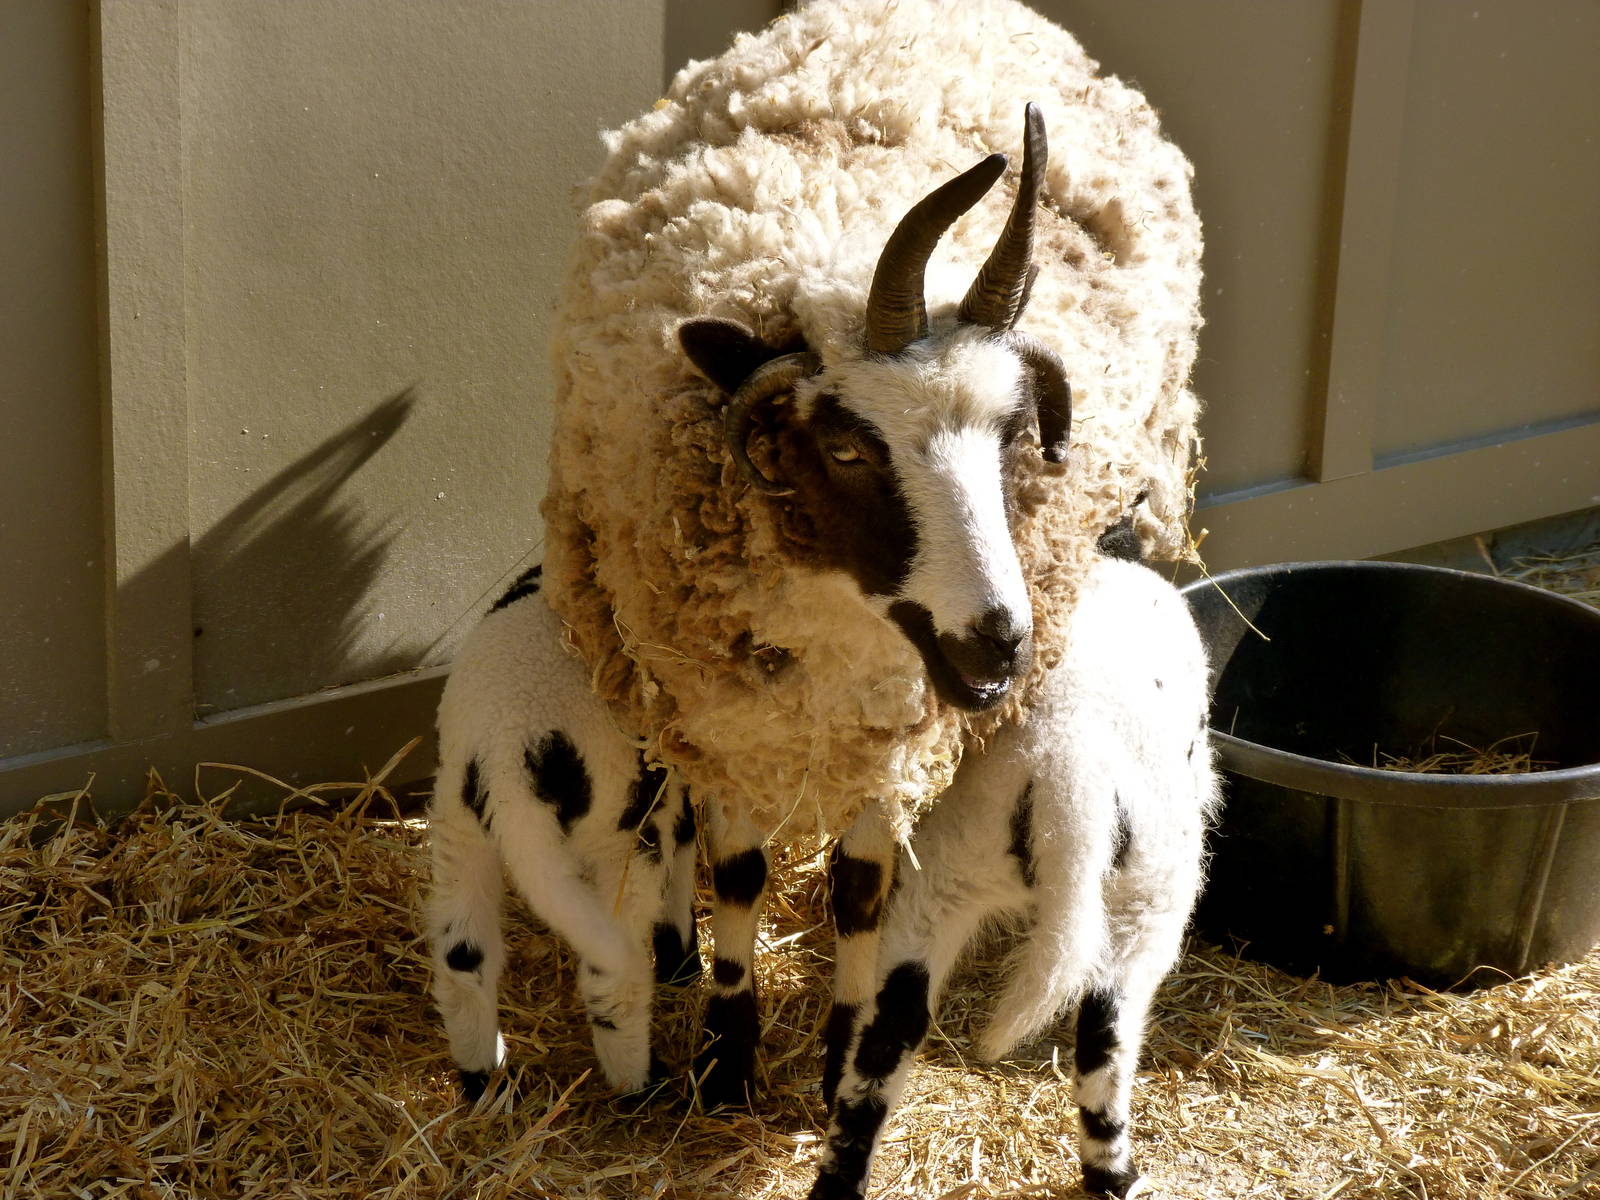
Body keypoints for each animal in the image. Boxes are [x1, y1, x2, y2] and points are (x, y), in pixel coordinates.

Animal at [425, 565, 701, 1099]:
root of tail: (508, 754)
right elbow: (685, 843)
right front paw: (682, 961)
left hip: (458, 824)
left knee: (462, 958)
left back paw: (482, 1080)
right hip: (620, 834)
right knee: (610, 980)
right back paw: (641, 1085)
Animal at [539, 0, 1205, 1106]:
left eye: (1013, 436)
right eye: (849, 450)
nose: (999, 646)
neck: (837, 621)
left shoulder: (890, 733)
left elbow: (858, 889)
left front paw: (842, 1044)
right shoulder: (717, 706)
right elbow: (735, 869)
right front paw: (727, 1057)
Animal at [810, 555, 1220, 1200]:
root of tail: (1068, 779)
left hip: (951, 875)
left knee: (893, 1028)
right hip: (1151, 894)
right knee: (1108, 1033)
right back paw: (1116, 1171)